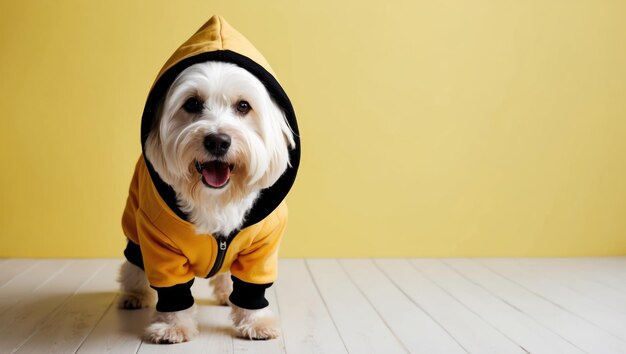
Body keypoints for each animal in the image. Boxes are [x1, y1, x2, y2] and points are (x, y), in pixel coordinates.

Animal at [117, 14, 302, 346]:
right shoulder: (157, 242)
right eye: (191, 104)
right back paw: (133, 294)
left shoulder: (262, 246)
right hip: (134, 226)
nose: (218, 141)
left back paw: (228, 293)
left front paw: (255, 322)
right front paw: (172, 327)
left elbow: (252, 286)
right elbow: (172, 291)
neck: (215, 198)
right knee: (133, 263)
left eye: (243, 106)